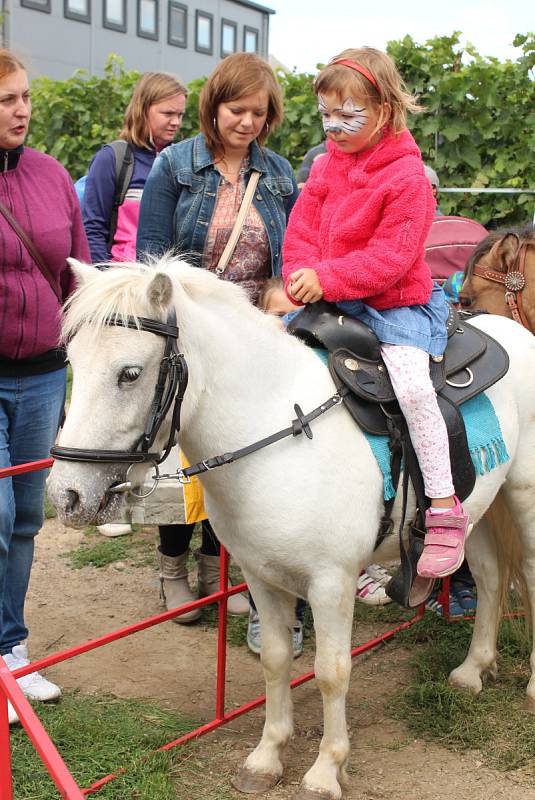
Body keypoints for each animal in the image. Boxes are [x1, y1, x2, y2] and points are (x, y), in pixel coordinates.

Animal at [47, 258, 535, 800]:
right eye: (71, 362)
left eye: (129, 373)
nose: (66, 496)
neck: (279, 430)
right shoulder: (261, 576)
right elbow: (277, 660)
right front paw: (267, 756)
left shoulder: (330, 583)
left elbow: (331, 672)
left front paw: (325, 769)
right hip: (484, 507)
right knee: (491, 579)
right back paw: (473, 670)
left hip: (522, 498)